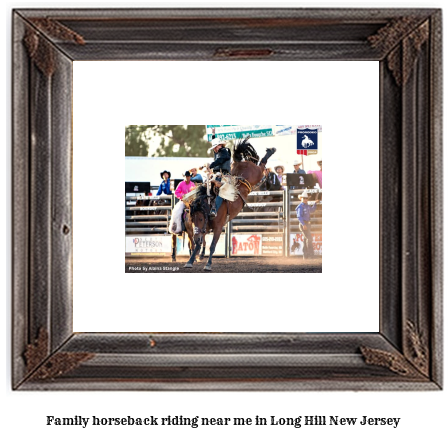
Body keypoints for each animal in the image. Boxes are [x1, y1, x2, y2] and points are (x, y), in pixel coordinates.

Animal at [172, 139, 274, 270]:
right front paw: (190, 261)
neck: (209, 207)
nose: (196, 236)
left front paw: (208, 264)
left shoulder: (218, 228)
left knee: (262, 164)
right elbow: (198, 244)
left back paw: (271, 150)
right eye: (192, 218)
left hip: (256, 173)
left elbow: (212, 245)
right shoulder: (202, 229)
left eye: (201, 218)